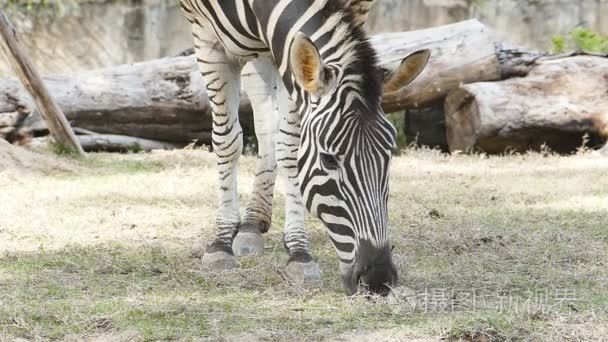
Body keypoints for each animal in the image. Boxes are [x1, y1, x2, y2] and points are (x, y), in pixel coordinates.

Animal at [178, 0, 430, 294]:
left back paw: (252, 223)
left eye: (389, 157)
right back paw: (249, 225)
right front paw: (221, 242)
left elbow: (289, 147)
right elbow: (227, 141)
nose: (378, 279)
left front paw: (298, 251)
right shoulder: (205, 35)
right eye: (328, 159)